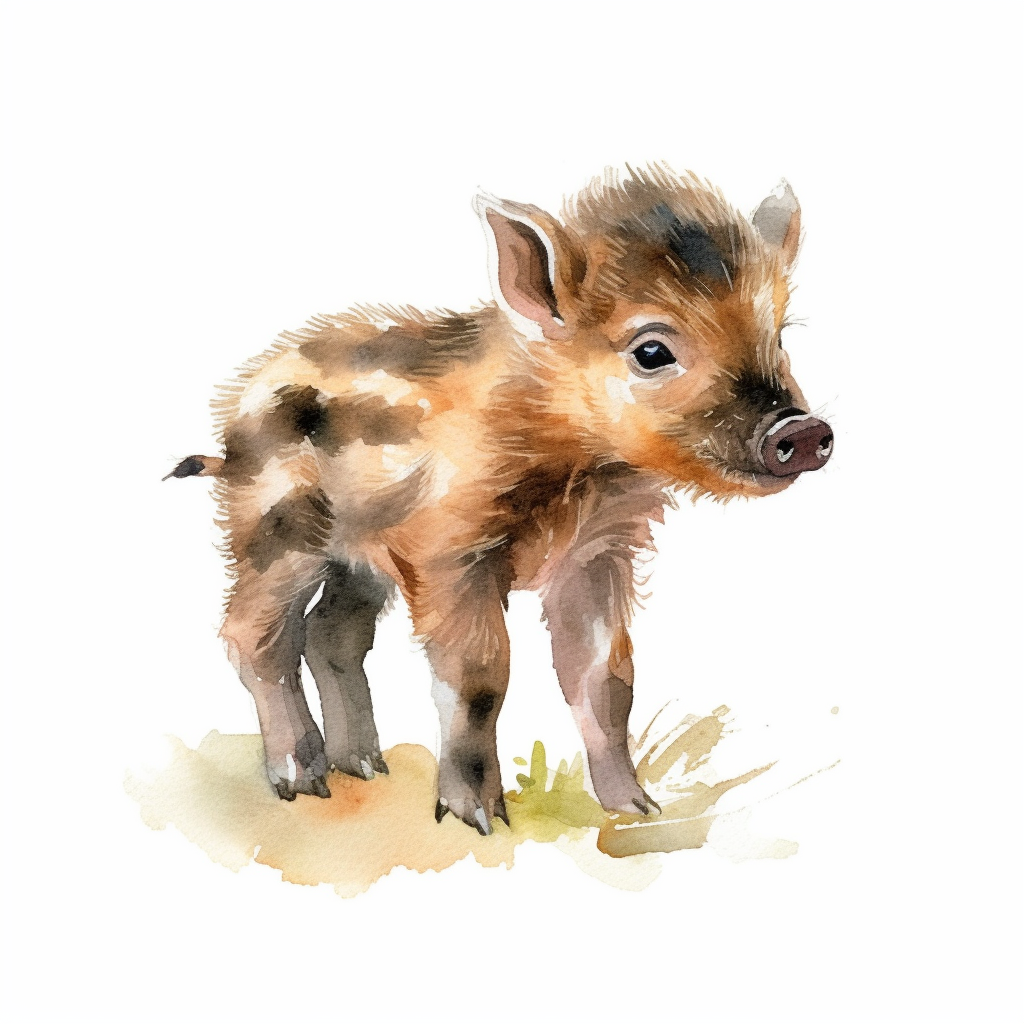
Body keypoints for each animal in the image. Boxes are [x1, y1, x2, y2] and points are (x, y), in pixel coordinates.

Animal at [168, 164, 833, 835]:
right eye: (651, 351)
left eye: (779, 335)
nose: (801, 430)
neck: (578, 470)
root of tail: (231, 426)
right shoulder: (449, 551)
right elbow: (479, 679)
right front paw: (480, 822)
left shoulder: (597, 552)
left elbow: (606, 677)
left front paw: (636, 812)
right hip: (275, 529)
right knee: (254, 635)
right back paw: (304, 783)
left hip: (358, 562)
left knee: (332, 635)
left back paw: (367, 769)